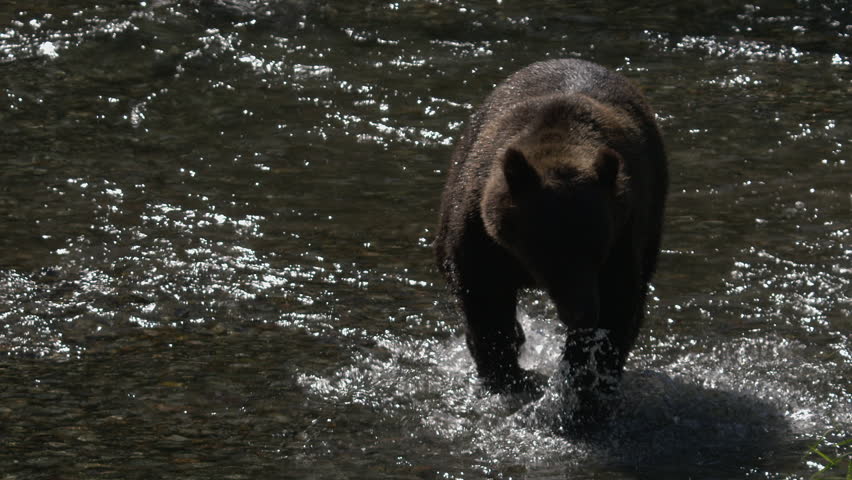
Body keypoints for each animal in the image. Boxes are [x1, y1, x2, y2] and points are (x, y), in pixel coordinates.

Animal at [435, 59, 668, 408]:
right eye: (550, 252)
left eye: (596, 252)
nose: (583, 312)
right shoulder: (479, 232)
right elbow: (484, 299)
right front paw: (505, 375)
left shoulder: (623, 231)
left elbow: (618, 305)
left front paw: (584, 385)